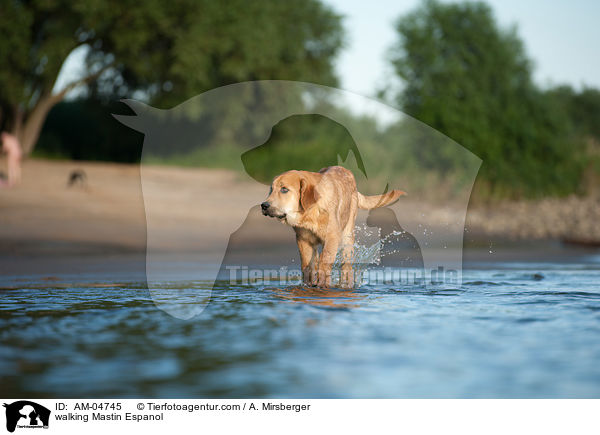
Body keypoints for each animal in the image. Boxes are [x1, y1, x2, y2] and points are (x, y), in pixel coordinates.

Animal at [262, 167, 406, 290]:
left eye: (284, 189)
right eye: (271, 189)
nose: (264, 205)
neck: (311, 212)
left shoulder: (332, 236)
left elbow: (325, 260)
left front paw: (321, 284)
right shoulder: (303, 239)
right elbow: (307, 266)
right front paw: (308, 285)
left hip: (347, 238)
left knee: (346, 267)